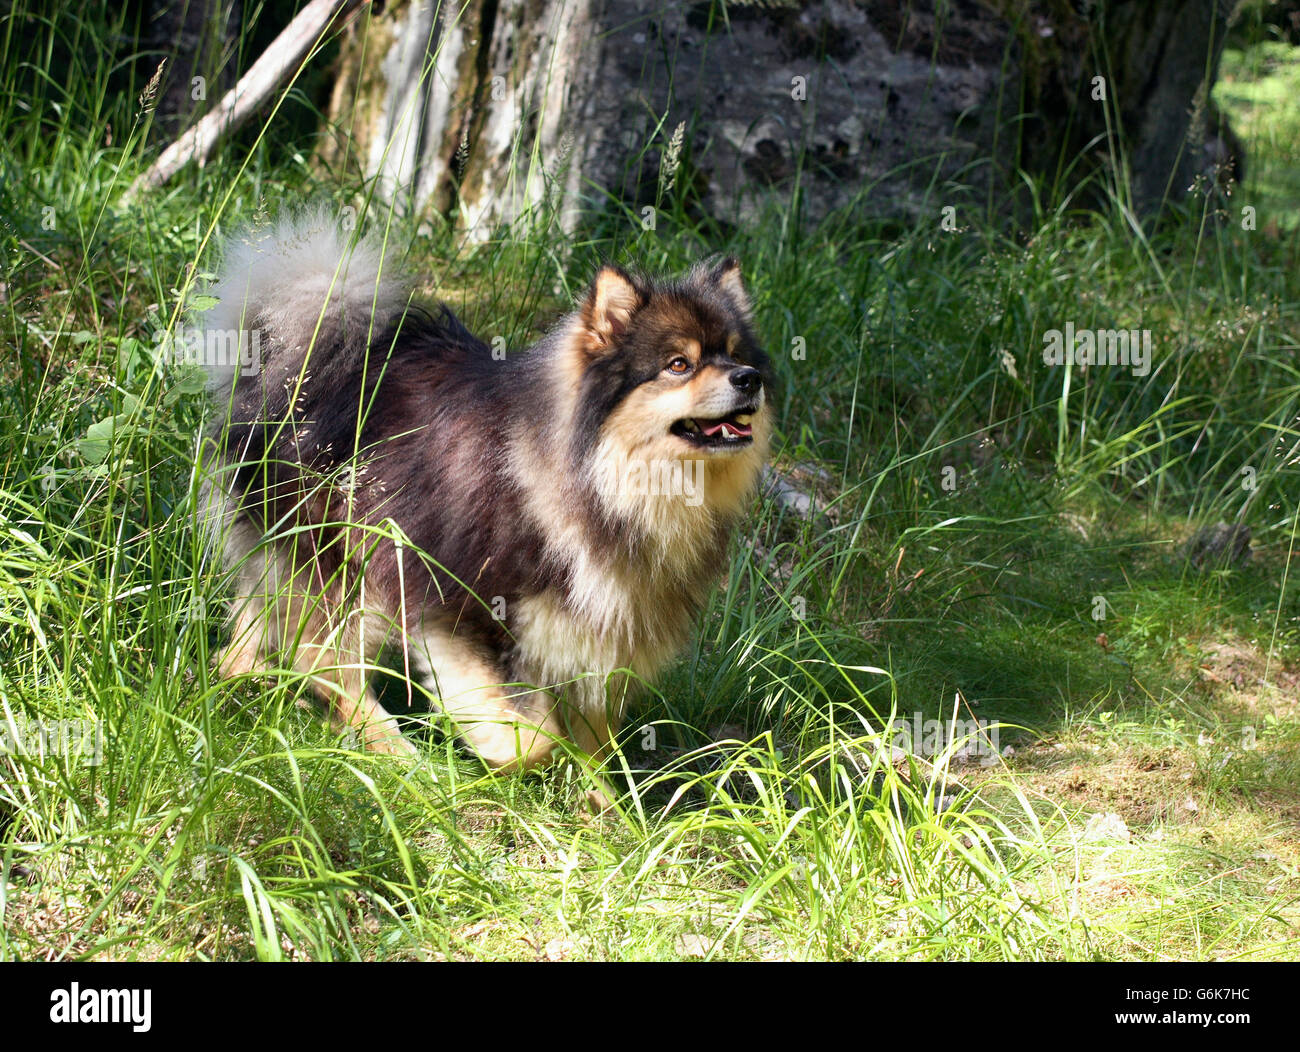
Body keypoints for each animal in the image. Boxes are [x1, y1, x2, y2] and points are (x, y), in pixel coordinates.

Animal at [197, 211, 769, 780]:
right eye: (679, 365)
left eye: (734, 355)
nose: (750, 378)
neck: (605, 480)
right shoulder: (454, 603)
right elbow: (531, 738)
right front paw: (499, 751)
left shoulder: (597, 634)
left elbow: (594, 748)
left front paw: (602, 799)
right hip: (348, 563)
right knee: (326, 662)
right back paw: (396, 753)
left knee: (256, 632)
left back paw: (246, 682)